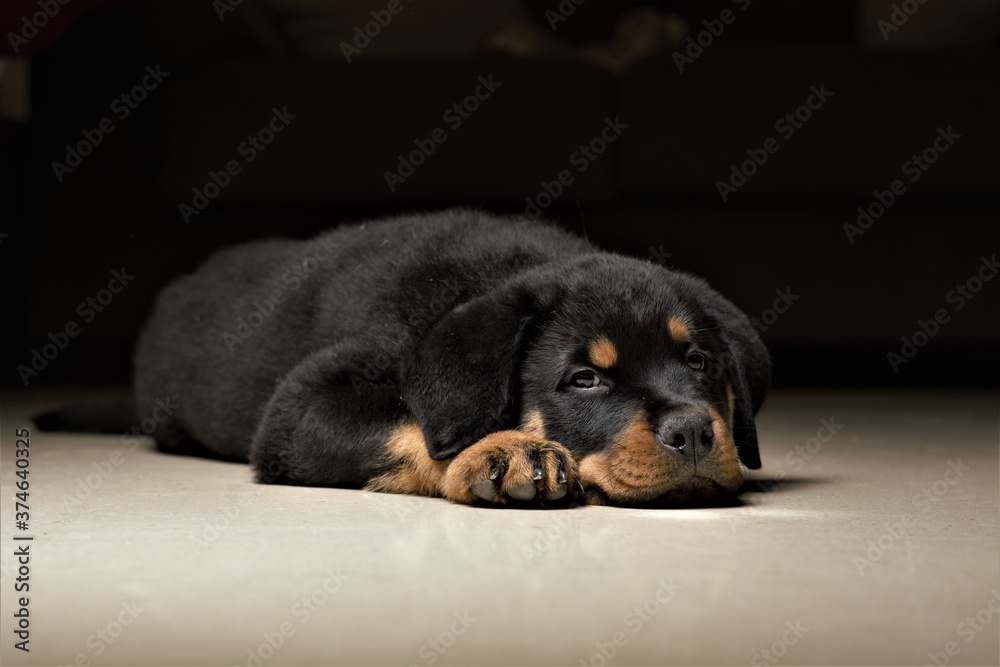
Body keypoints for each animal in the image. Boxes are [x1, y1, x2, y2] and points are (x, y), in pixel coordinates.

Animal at [133, 211, 768, 508]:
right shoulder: (301, 406)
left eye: (700, 363)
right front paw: (500, 451)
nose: (691, 432)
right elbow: (409, 424)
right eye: (584, 380)